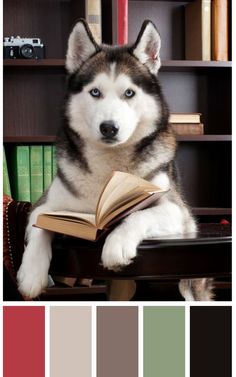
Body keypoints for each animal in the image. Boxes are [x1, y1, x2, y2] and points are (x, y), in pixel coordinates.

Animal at [16, 19, 212, 300]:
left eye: (129, 93)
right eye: (95, 92)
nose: (109, 127)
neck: (109, 169)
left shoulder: (178, 212)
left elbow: (139, 214)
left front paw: (116, 244)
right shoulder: (46, 204)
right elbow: (39, 224)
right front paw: (31, 273)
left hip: (188, 285)